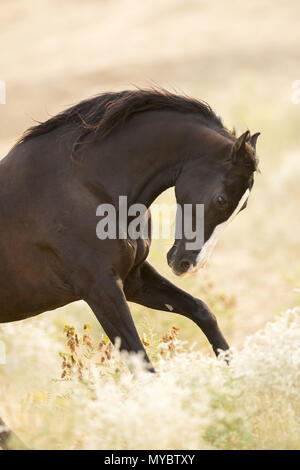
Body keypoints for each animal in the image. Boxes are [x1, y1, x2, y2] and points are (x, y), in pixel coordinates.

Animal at [0, 89, 258, 448]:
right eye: (222, 199)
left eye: (241, 206)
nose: (188, 264)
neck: (88, 184)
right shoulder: (101, 290)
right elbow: (143, 366)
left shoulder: (134, 279)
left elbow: (202, 311)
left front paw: (237, 390)